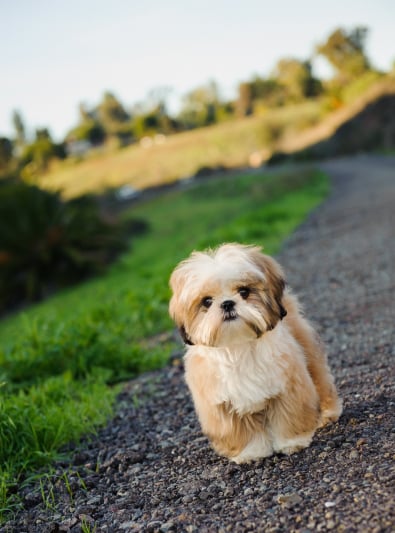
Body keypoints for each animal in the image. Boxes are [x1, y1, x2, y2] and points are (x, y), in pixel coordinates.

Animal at [169, 242, 342, 462]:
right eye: (207, 301)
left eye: (244, 291)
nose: (227, 303)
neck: (238, 346)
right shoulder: (222, 406)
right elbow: (241, 432)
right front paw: (251, 453)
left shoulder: (289, 386)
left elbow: (289, 416)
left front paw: (292, 442)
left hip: (309, 353)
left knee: (321, 381)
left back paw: (329, 413)